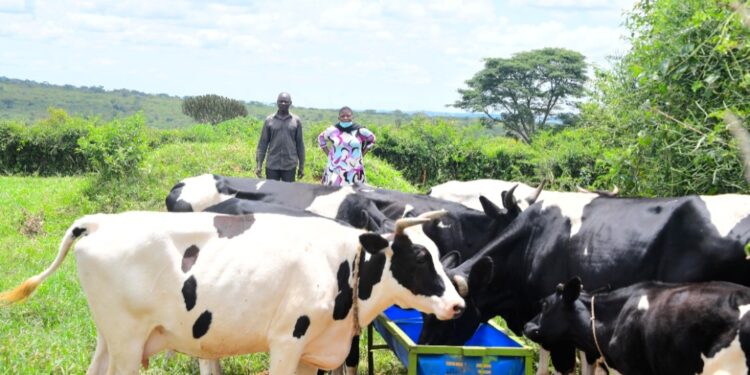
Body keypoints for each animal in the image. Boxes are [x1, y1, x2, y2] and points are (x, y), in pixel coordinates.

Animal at [0, 213, 464, 374]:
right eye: (419, 257)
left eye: (439, 253)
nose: (458, 304)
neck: (341, 262)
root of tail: (101, 221)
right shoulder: (287, 341)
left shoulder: (312, 351)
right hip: (128, 344)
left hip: (109, 338)